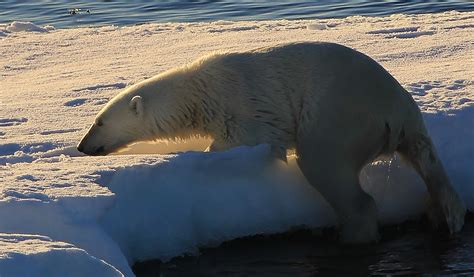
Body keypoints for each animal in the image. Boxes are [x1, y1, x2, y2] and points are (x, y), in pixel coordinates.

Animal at [78, 42, 466, 243]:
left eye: (99, 122)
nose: (82, 147)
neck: (201, 91)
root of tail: (398, 111)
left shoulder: (243, 106)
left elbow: (244, 141)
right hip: (405, 130)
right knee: (429, 166)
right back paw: (443, 214)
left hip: (341, 115)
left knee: (324, 163)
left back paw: (354, 233)